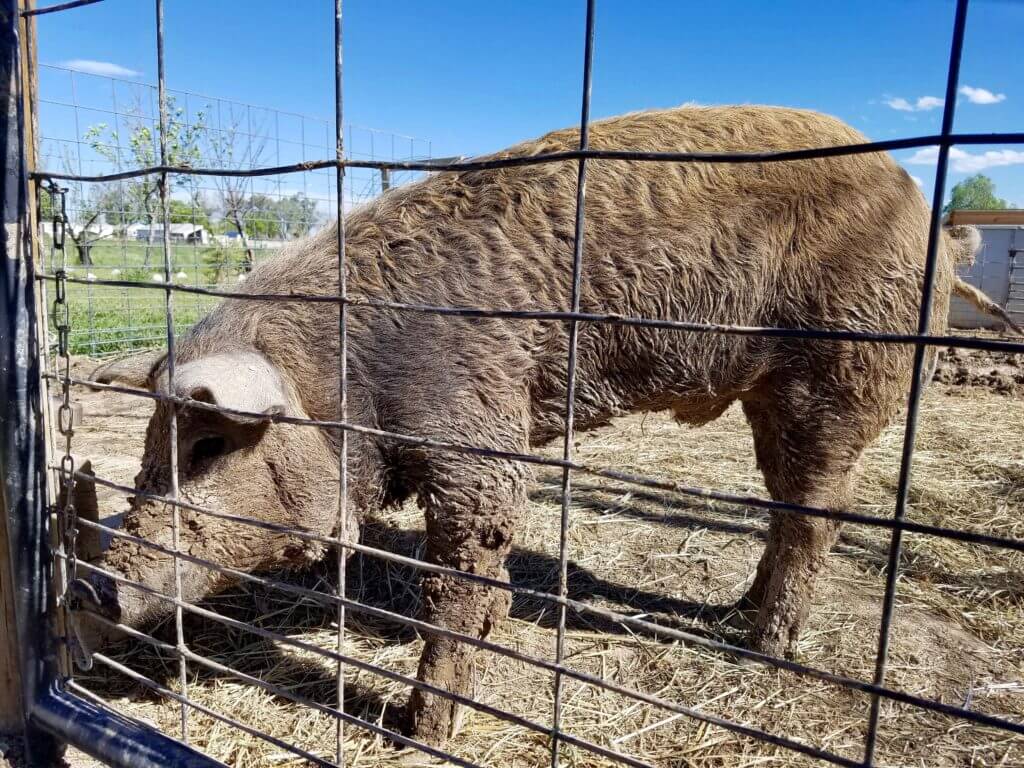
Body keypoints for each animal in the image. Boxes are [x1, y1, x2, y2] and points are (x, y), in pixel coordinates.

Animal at [74, 105, 999, 749]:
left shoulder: (479, 432)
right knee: (781, 509)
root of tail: (928, 218)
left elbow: (464, 578)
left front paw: (418, 732)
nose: (89, 586)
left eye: (208, 444)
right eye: (148, 450)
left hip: (839, 375)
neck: (340, 381)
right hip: (773, 395)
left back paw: (763, 647)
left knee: (815, 516)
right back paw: (736, 613)